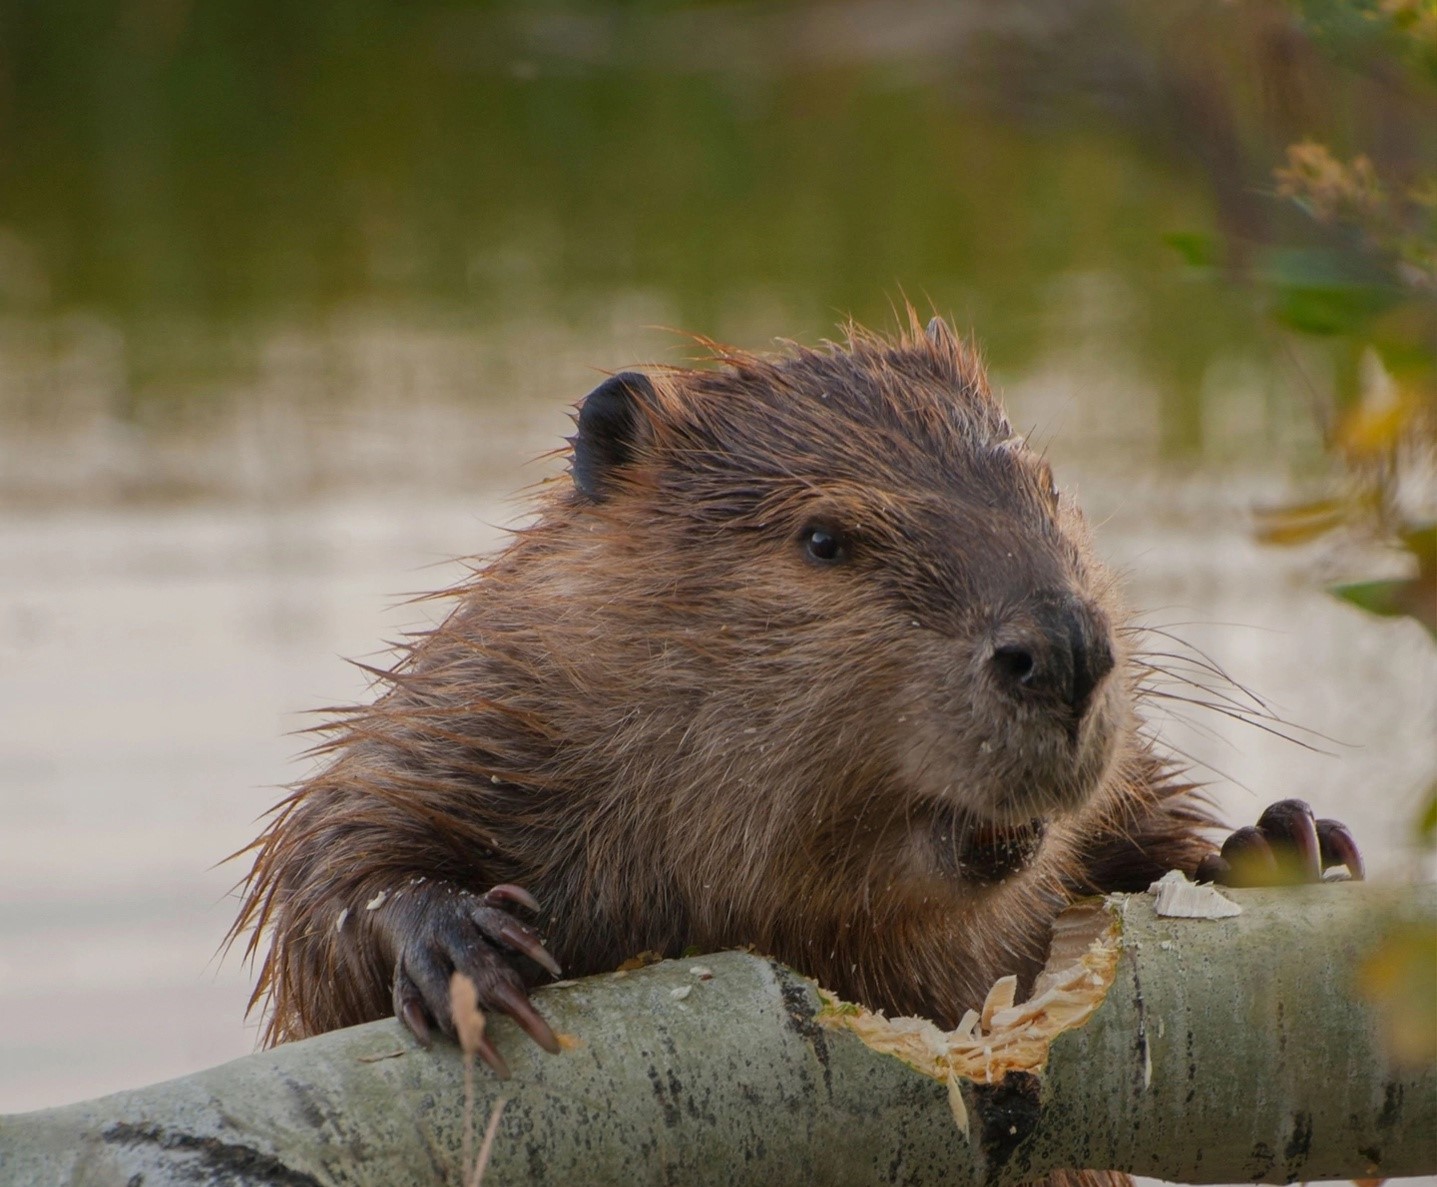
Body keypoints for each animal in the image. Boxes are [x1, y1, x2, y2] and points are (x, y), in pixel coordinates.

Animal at [229, 314, 1362, 1074]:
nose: (1069, 650)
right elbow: (332, 852)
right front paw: (461, 944)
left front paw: (1279, 839)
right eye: (823, 538)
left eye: (1047, 487)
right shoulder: (494, 701)